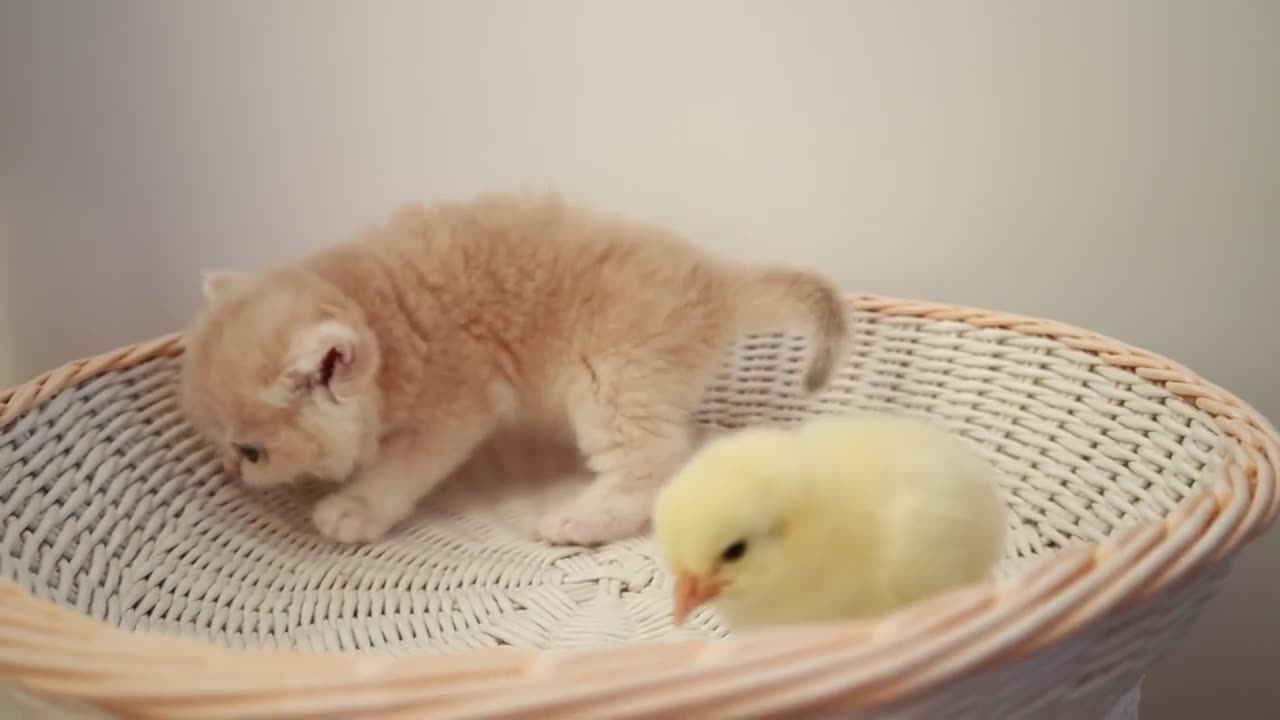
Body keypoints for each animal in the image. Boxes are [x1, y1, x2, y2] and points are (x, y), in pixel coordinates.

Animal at [175, 190, 844, 543]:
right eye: (222, 445)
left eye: (253, 451)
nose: (231, 470)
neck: (384, 320)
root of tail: (712, 278)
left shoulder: (451, 407)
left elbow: (397, 469)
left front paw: (355, 507)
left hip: (612, 380)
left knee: (653, 464)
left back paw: (582, 519)